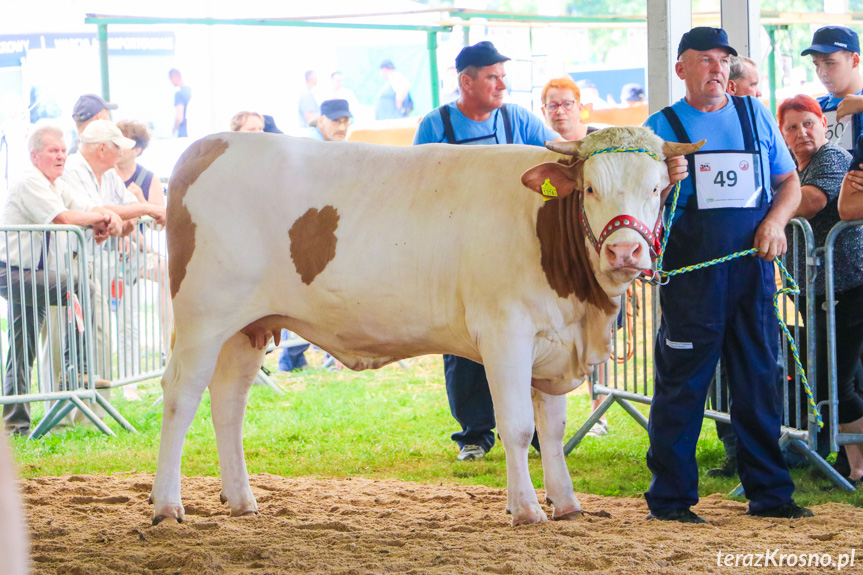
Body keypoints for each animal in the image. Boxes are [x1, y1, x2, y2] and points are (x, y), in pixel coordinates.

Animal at [150, 126, 704, 528]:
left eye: (657, 189)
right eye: (590, 188)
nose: (625, 251)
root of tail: (210, 143)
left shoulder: (553, 343)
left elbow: (551, 429)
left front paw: (566, 504)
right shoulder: (505, 334)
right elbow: (518, 426)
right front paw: (526, 509)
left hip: (248, 327)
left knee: (228, 402)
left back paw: (241, 499)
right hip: (202, 317)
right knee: (181, 398)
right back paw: (167, 506)